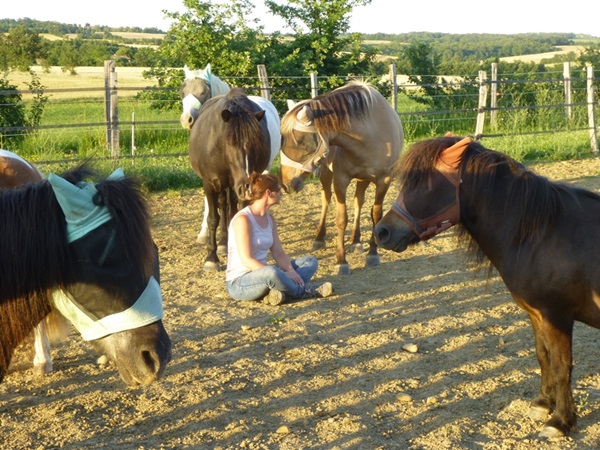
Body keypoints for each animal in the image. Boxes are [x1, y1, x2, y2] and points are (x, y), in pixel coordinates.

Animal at [190, 88, 272, 270]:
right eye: (230, 143)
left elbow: (239, 215)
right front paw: (211, 258)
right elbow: (213, 218)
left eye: (257, 143)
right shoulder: (209, 183)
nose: (247, 187)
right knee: (223, 205)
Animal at [280, 82, 404, 276]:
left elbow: (376, 215)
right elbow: (341, 219)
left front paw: (373, 254)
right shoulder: (340, 180)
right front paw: (341, 261)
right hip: (326, 173)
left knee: (358, 202)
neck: (370, 136)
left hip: (363, 179)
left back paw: (356, 241)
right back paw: (319, 238)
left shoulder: (384, 180)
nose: (286, 184)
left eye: (299, 141)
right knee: (326, 200)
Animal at [376, 135, 600, 438]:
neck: (542, 233)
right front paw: (543, 403)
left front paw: (561, 421)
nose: (382, 232)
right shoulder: (536, 315)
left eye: (426, 183)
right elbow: (543, 357)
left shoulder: (557, 316)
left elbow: (562, 364)